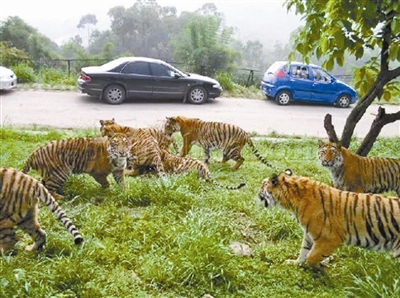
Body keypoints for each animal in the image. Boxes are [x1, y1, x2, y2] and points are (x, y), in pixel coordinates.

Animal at [258, 170, 400, 270]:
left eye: (262, 186)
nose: (257, 193)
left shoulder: (329, 238)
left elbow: (311, 256)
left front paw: (317, 268)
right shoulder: (309, 234)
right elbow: (304, 250)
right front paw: (296, 263)